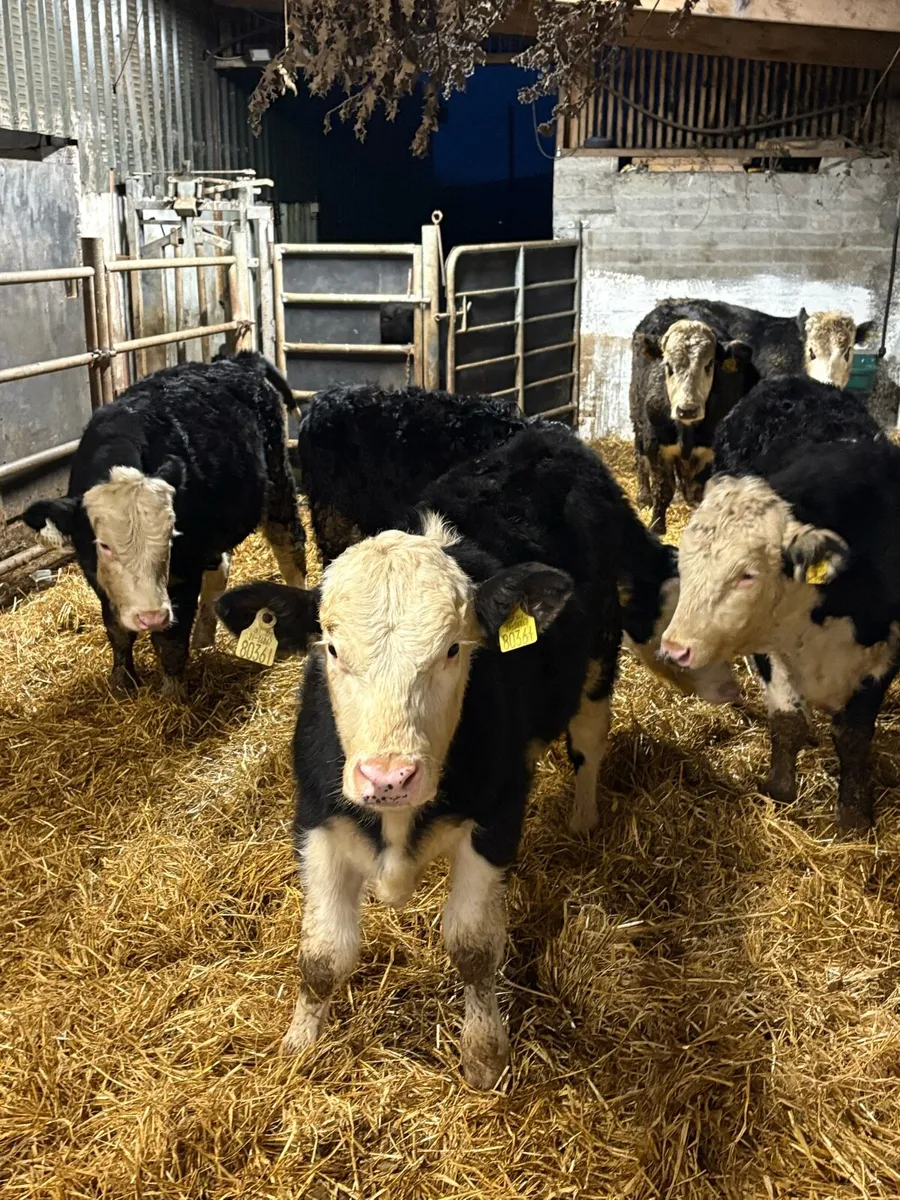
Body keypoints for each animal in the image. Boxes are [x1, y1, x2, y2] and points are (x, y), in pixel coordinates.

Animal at [23, 353, 306, 698]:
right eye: (103, 545)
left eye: (171, 536)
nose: (151, 616)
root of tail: (236, 360)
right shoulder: (98, 578)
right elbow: (117, 630)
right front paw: (122, 682)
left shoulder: (185, 570)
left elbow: (169, 641)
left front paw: (172, 696)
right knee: (220, 570)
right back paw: (203, 639)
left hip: (278, 485)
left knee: (290, 549)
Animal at [215, 424, 735, 1087]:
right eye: (330, 647)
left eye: (454, 650)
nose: (388, 776)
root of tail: (555, 439)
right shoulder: (315, 815)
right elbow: (323, 954)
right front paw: (301, 1046)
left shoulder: (497, 816)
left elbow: (472, 945)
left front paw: (485, 1056)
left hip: (595, 667)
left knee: (589, 746)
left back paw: (583, 819)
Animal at [630, 316, 758, 534]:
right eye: (668, 365)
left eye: (709, 365)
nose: (687, 409)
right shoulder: (655, 443)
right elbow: (663, 488)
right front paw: (657, 525)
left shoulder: (711, 451)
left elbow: (700, 490)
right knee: (641, 458)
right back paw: (643, 498)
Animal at [660, 381, 900, 831]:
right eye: (684, 561)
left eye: (748, 574)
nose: (674, 649)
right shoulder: (769, 648)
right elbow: (787, 722)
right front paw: (780, 790)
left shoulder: (885, 652)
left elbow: (854, 735)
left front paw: (854, 816)